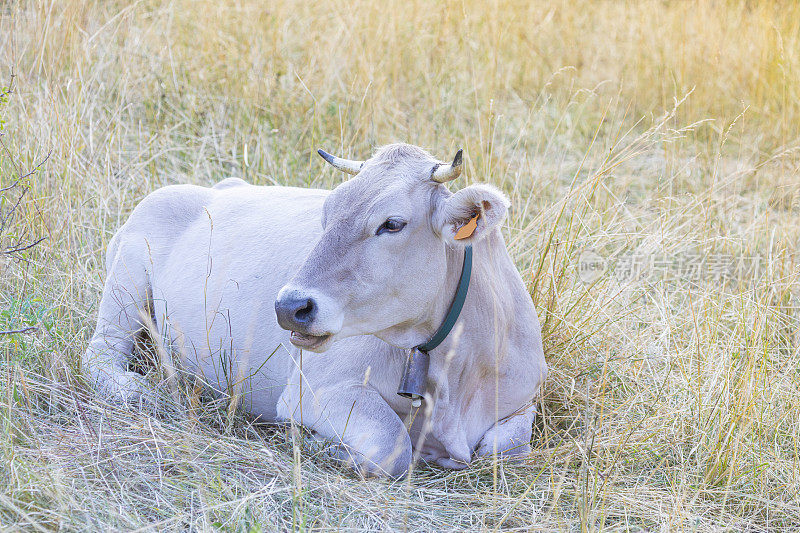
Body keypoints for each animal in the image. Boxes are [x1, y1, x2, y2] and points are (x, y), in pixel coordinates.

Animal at [86, 143, 552, 476]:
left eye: (393, 223)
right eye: (326, 214)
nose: (289, 306)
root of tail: (211, 189)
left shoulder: (523, 402)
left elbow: (505, 450)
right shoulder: (316, 389)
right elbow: (393, 447)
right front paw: (316, 445)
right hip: (124, 284)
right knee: (100, 354)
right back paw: (135, 390)